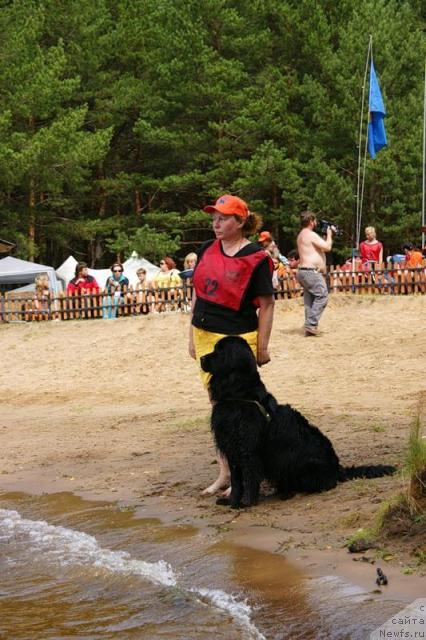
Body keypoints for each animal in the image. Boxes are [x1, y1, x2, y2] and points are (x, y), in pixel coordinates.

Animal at [201, 336, 398, 510]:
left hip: (306, 466)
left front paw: (246, 503)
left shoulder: (248, 449)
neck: (239, 394)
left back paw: (290, 492)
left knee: (323, 484)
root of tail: (338, 469)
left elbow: (248, 478)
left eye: (219, 351)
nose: (202, 358)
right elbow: (236, 480)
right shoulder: (231, 448)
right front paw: (231, 501)